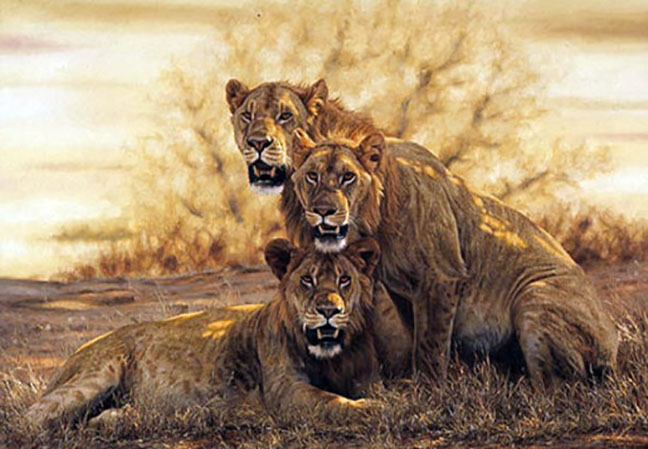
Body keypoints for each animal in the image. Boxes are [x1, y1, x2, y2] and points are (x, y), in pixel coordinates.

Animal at [26, 239, 411, 429]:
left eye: (344, 280)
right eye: (308, 280)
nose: (329, 310)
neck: (332, 358)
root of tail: (72, 355)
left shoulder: (368, 378)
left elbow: (389, 391)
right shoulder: (286, 392)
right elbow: (330, 401)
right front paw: (370, 409)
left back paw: (125, 417)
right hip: (94, 377)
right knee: (33, 418)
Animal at [289, 128, 619, 387]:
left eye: (348, 177)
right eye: (312, 176)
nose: (323, 211)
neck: (375, 221)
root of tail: (613, 347)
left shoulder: (441, 276)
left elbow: (431, 342)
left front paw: (427, 390)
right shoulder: (403, 291)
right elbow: (416, 337)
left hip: (533, 295)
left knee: (558, 386)